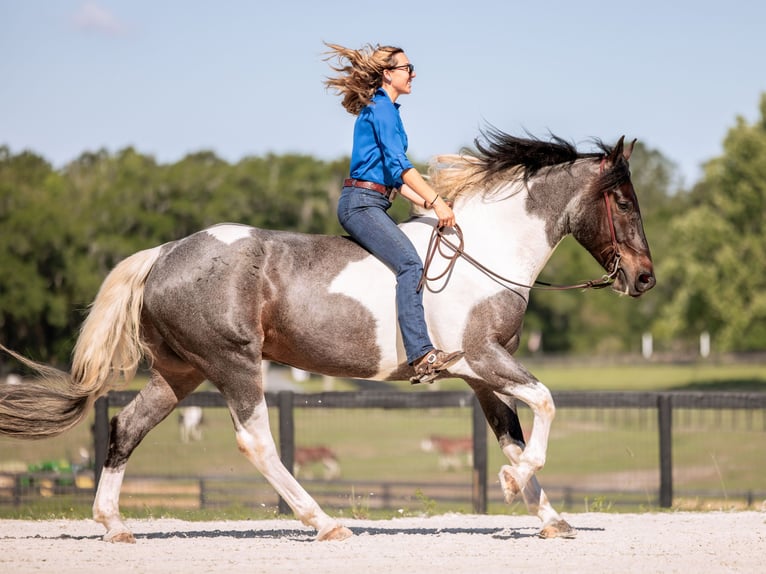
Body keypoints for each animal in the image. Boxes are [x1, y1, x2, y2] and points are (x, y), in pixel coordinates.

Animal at [0, 130, 655, 542]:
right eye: (623, 201)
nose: (645, 278)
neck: (485, 253)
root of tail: (163, 254)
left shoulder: (481, 377)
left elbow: (514, 437)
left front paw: (548, 516)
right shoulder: (483, 359)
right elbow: (546, 403)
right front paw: (518, 487)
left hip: (178, 372)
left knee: (126, 427)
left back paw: (114, 525)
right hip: (233, 363)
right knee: (257, 442)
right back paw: (323, 522)